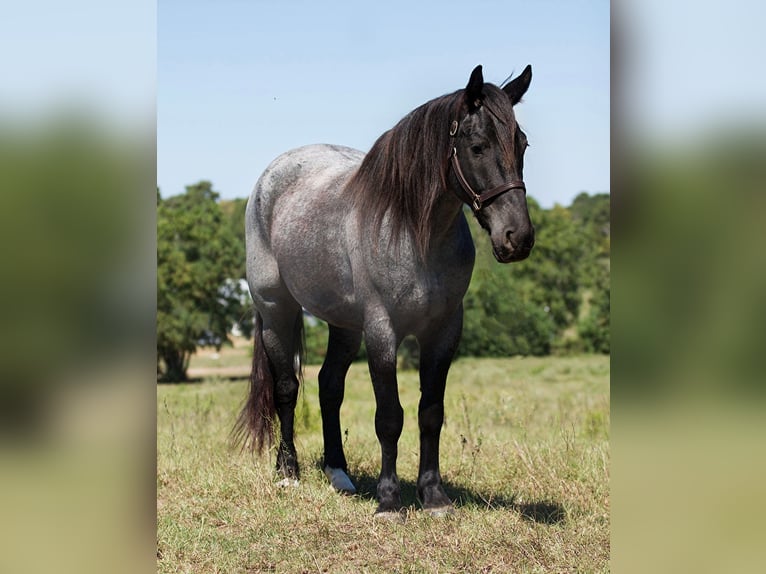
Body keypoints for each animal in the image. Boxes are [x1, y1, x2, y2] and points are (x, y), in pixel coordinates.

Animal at [234, 65, 536, 520]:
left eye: (522, 143)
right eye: (477, 146)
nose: (517, 238)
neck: (412, 231)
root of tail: (274, 174)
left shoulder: (444, 331)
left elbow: (431, 413)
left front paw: (434, 496)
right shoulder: (382, 330)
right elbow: (389, 416)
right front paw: (389, 500)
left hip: (343, 325)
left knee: (329, 387)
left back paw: (339, 474)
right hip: (276, 311)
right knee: (286, 387)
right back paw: (288, 472)